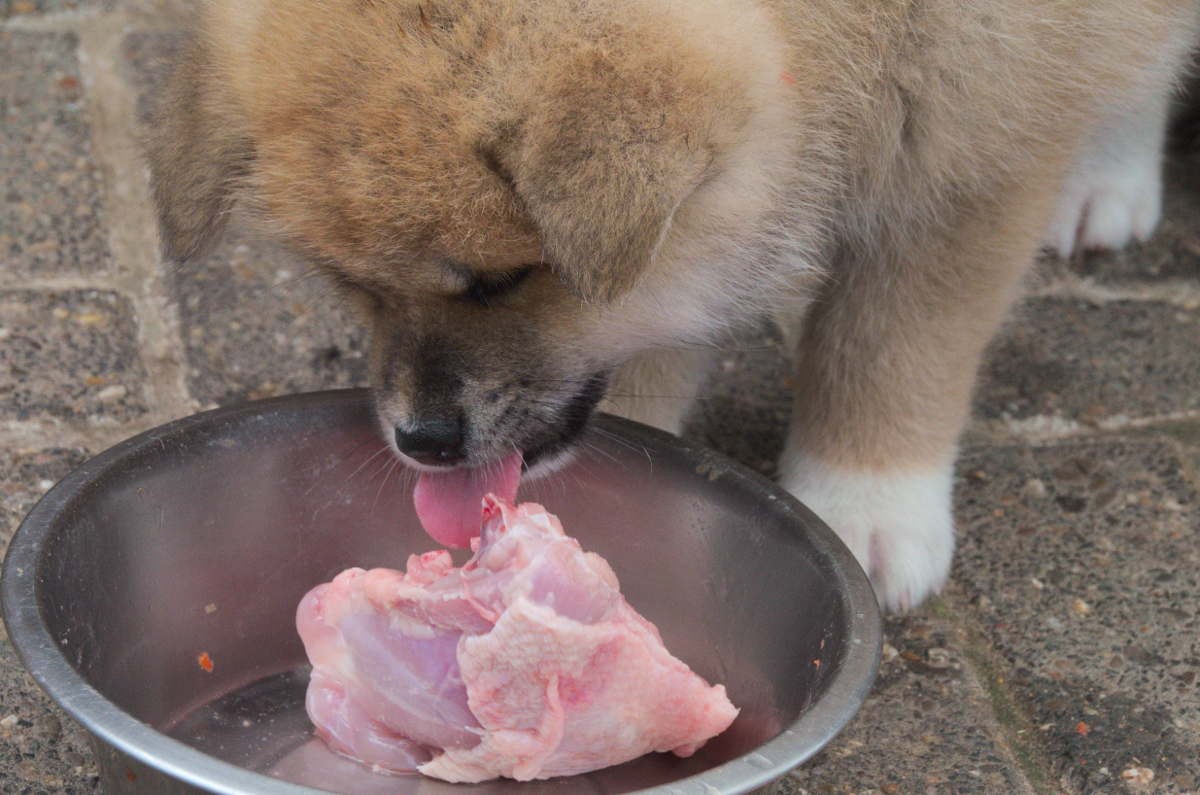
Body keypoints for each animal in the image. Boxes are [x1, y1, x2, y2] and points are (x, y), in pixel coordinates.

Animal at [146, 0, 1200, 610]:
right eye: (351, 285)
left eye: (501, 278)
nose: (422, 441)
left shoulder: (976, 131)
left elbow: (895, 341)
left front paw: (866, 499)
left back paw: (1108, 171)